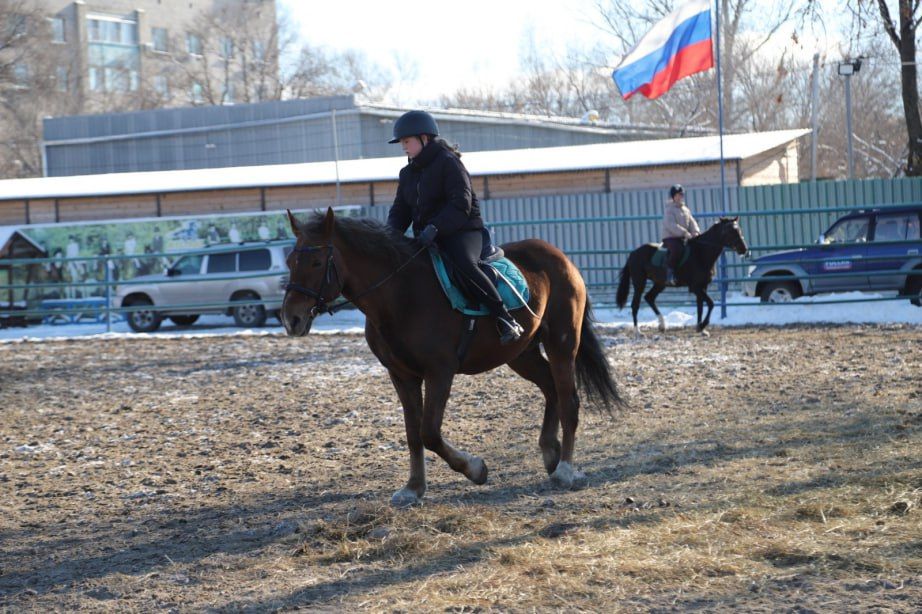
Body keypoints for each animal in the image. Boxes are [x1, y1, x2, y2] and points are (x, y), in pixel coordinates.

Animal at [284, 209, 620, 508]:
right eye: (290, 261)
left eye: (316, 261)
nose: (291, 319)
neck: (401, 294)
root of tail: (560, 257)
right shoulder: (401, 375)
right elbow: (413, 433)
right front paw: (413, 488)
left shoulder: (439, 372)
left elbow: (429, 432)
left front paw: (475, 469)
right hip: (521, 354)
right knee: (550, 388)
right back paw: (551, 452)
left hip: (562, 343)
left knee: (568, 400)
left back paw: (564, 470)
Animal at [612, 218, 748, 336]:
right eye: (730, 231)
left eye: (739, 230)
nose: (744, 249)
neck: (701, 252)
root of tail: (633, 253)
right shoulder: (695, 287)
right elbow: (711, 303)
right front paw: (702, 325)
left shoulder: (702, 286)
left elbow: (700, 307)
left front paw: (700, 329)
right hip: (639, 282)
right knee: (635, 304)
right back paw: (638, 332)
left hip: (660, 283)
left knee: (649, 297)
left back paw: (662, 325)